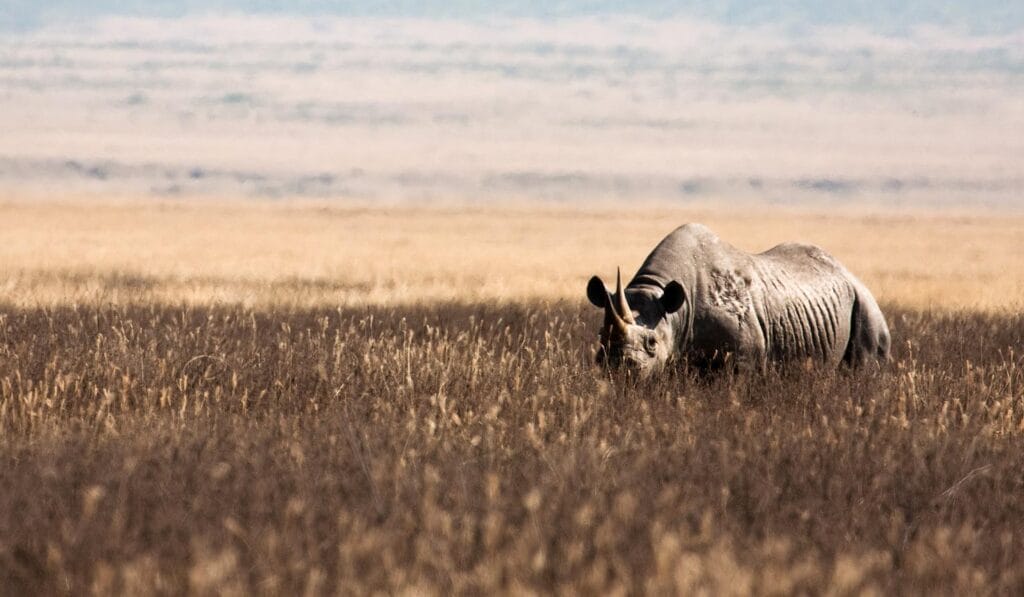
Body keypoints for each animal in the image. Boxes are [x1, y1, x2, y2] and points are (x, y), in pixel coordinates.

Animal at [587, 223, 890, 375]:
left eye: (652, 343)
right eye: (601, 335)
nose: (620, 368)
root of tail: (850, 274)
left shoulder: (744, 358)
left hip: (866, 306)